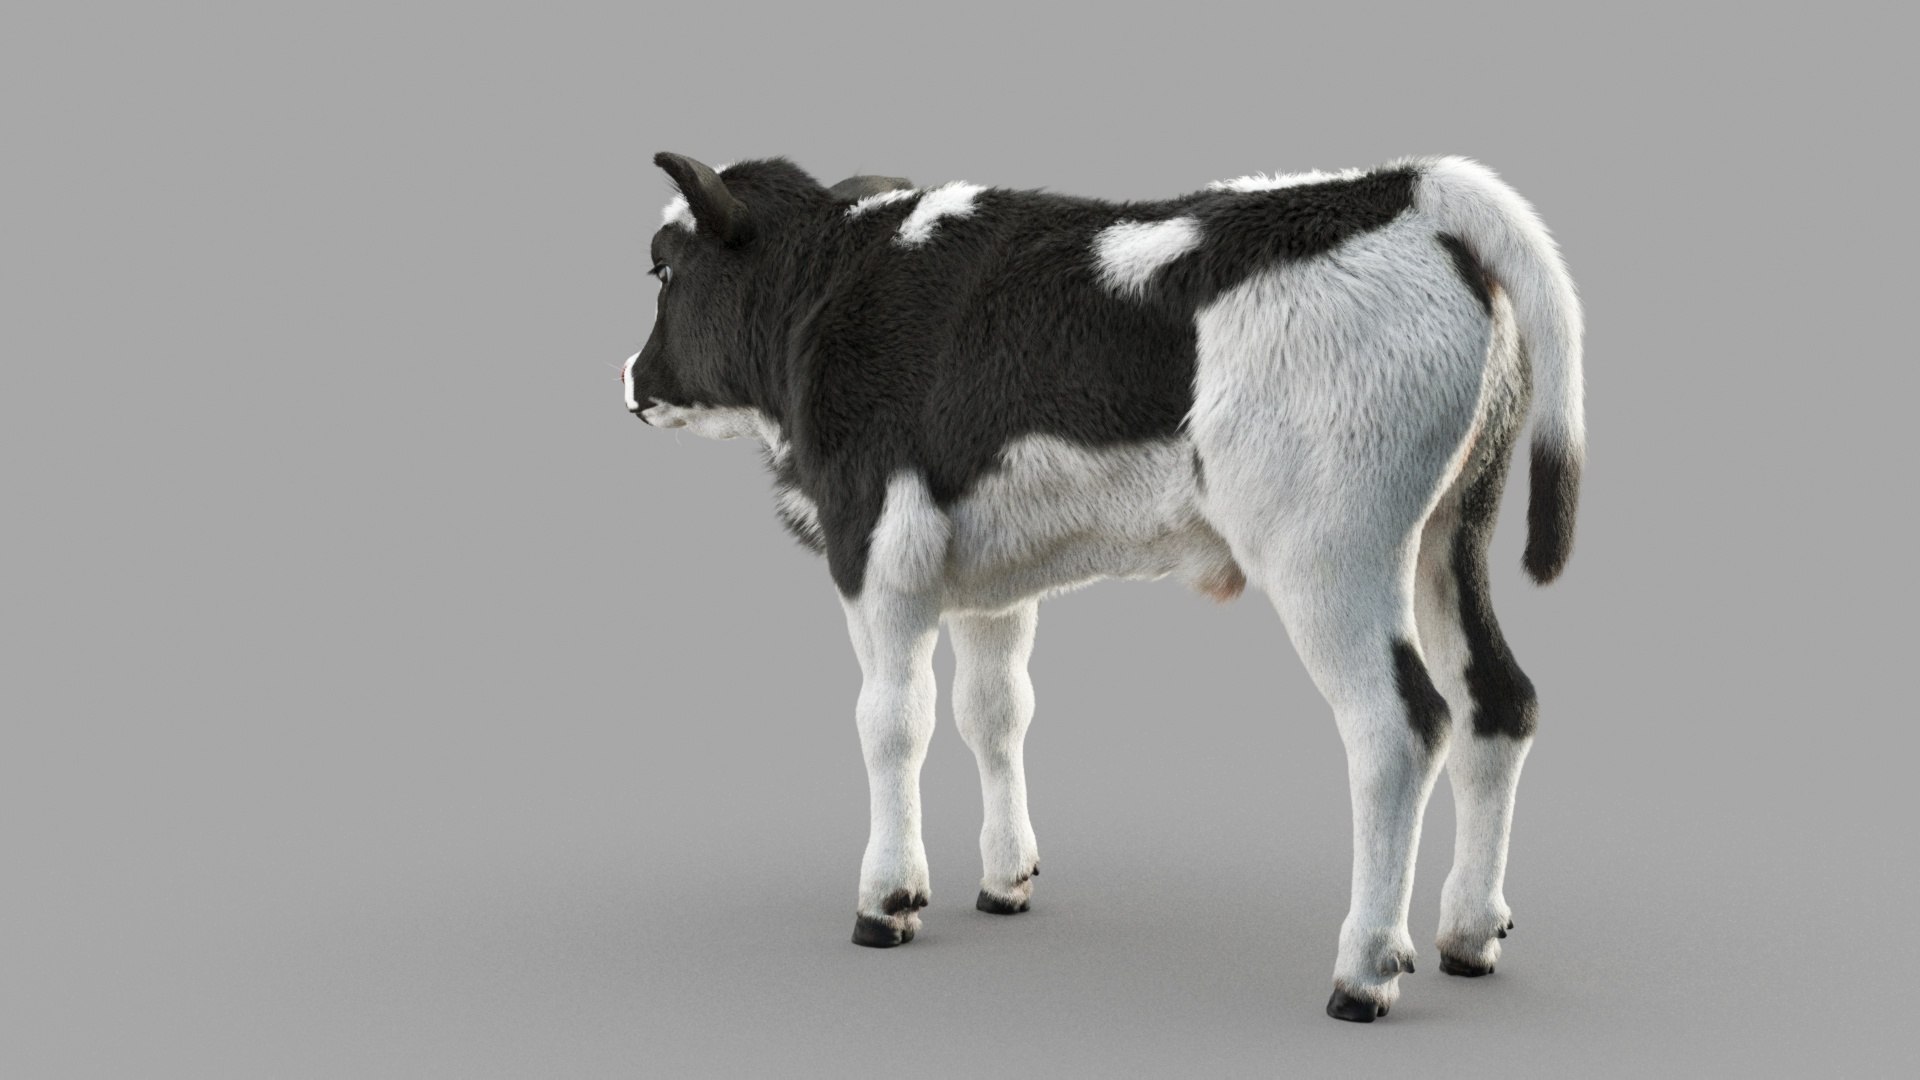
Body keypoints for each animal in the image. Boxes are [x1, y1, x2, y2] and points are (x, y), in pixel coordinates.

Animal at [621, 151, 1583, 1022]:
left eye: (663, 268)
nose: (630, 378)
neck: (835, 279)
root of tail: (1407, 187)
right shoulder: (991, 580)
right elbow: (994, 711)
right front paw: (1005, 880)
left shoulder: (877, 549)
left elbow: (892, 723)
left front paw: (887, 900)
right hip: (1451, 529)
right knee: (1500, 702)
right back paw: (1470, 935)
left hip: (1331, 550)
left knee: (1399, 729)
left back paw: (1364, 970)